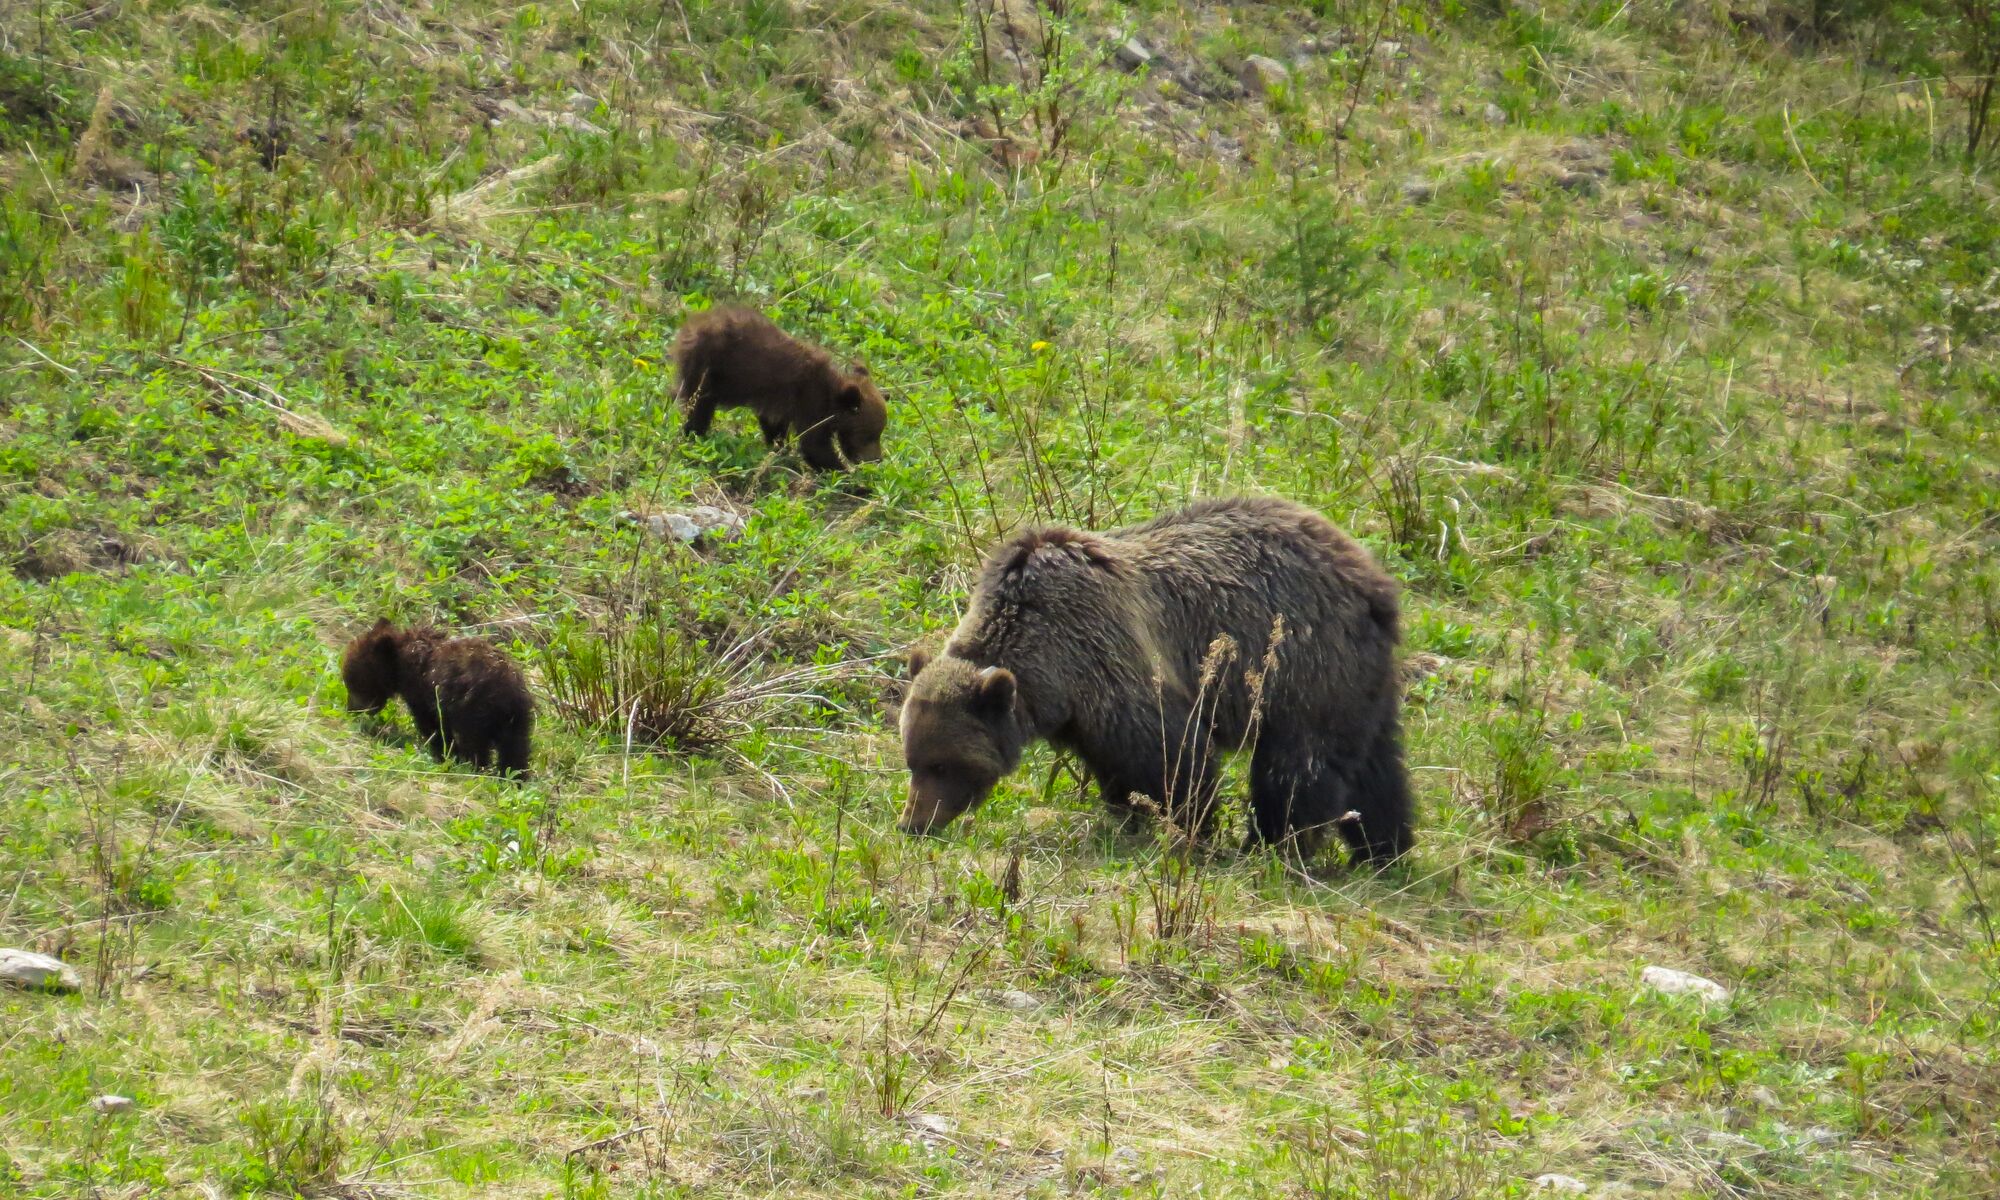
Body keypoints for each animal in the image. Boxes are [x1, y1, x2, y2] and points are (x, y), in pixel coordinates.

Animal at [341, 619, 534, 777]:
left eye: (353, 681)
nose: (351, 710)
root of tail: (507, 692)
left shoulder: (426, 694)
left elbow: (432, 725)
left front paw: (443, 753)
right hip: (518, 719)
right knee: (516, 749)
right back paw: (514, 777)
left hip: (476, 710)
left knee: (475, 742)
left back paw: (474, 766)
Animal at [672, 306, 887, 470]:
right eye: (870, 435)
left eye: (878, 433)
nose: (877, 459)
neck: (832, 396)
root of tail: (689, 326)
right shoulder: (810, 400)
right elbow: (814, 445)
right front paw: (851, 479)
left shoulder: (780, 401)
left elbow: (775, 426)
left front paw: (780, 449)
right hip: (709, 368)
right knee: (699, 405)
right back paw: (694, 433)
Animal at [898, 496, 1412, 864]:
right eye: (912, 761)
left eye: (942, 764)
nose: (912, 823)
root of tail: (1372, 576)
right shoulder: (1083, 715)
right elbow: (1117, 770)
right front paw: (1128, 817)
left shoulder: (1110, 659)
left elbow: (1170, 755)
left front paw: (1191, 826)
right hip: (1357, 681)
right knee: (1375, 767)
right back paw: (1383, 850)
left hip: (1302, 667)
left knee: (1298, 765)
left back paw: (1273, 845)